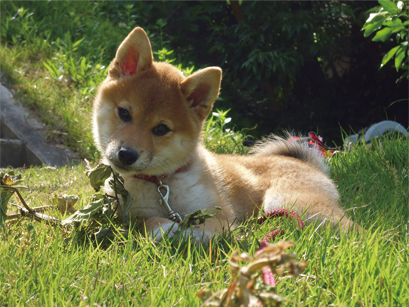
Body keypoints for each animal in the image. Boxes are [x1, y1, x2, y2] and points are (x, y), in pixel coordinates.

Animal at [91, 27, 354, 243]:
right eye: (124, 113)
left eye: (161, 129)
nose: (126, 154)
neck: (160, 184)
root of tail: (306, 162)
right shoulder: (128, 214)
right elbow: (146, 222)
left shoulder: (221, 217)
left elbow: (182, 227)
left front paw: (172, 230)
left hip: (289, 202)